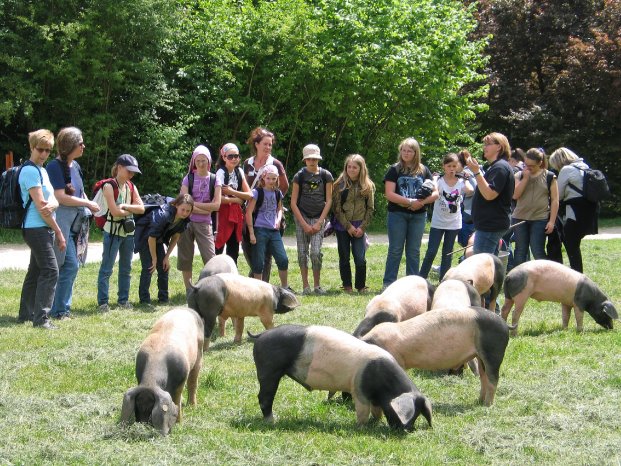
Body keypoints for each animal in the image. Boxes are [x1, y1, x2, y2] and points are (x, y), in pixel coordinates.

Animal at [121, 308, 206, 436]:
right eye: (137, 405)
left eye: (151, 406)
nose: (143, 424)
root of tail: (187, 309)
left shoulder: (181, 380)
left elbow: (177, 400)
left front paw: (179, 424)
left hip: (199, 353)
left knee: (193, 382)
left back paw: (192, 406)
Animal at [247, 324, 432, 430]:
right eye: (408, 414)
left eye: (417, 415)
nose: (406, 430)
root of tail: (260, 335)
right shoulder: (359, 391)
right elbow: (362, 411)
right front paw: (361, 428)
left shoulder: (374, 398)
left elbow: (377, 412)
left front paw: (375, 424)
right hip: (269, 370)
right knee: (263, 397)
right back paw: (272, 421)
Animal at [360, 308, 512, 406]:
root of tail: (504, 324)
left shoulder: (398, 360)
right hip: (480, 355)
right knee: (483, 376)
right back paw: (479, 401)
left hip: (493, 352)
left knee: (493, 378)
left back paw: (487, 405)